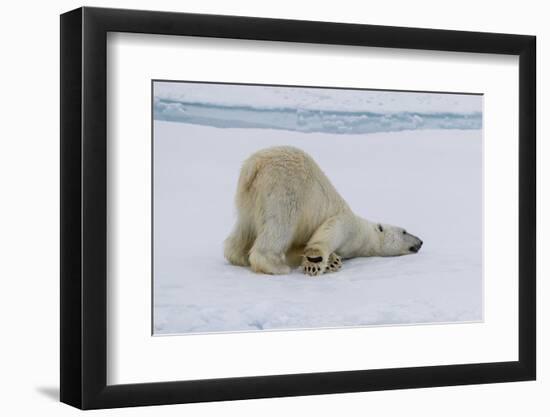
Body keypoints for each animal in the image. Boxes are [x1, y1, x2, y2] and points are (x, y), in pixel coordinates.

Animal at [223, 146, 422, 276]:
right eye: (405, 231)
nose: (420, 241)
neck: (364, 235)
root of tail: (254, 164)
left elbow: (298, 247)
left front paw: (332, 261)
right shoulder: (347, 224)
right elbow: (328, 231)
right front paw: (316, 261)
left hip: (248, 198)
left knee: (245, 229)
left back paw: (238, 257)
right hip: (285, 189)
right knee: (279, 226)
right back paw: (276, 267)